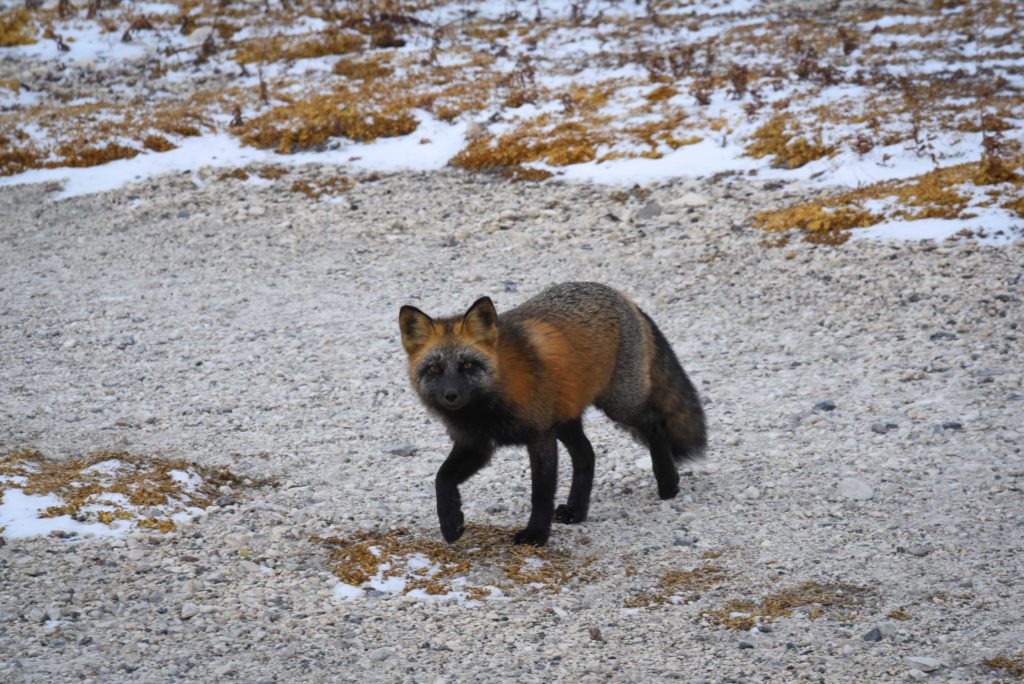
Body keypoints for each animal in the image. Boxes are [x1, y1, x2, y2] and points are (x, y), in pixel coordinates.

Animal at [398, 282, 706, 547]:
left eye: (467, 365)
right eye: (434, 369)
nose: (451, 396)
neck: (487, 410)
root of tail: (622, 295)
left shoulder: (540, 436)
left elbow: (541, 494)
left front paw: (536, 534)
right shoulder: (476, 444)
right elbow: (442, 479)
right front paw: (451, 524)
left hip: (618, 405)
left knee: (654, 425)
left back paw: (668, 484)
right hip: (568, 420)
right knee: (586, 455)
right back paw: (576, 511)